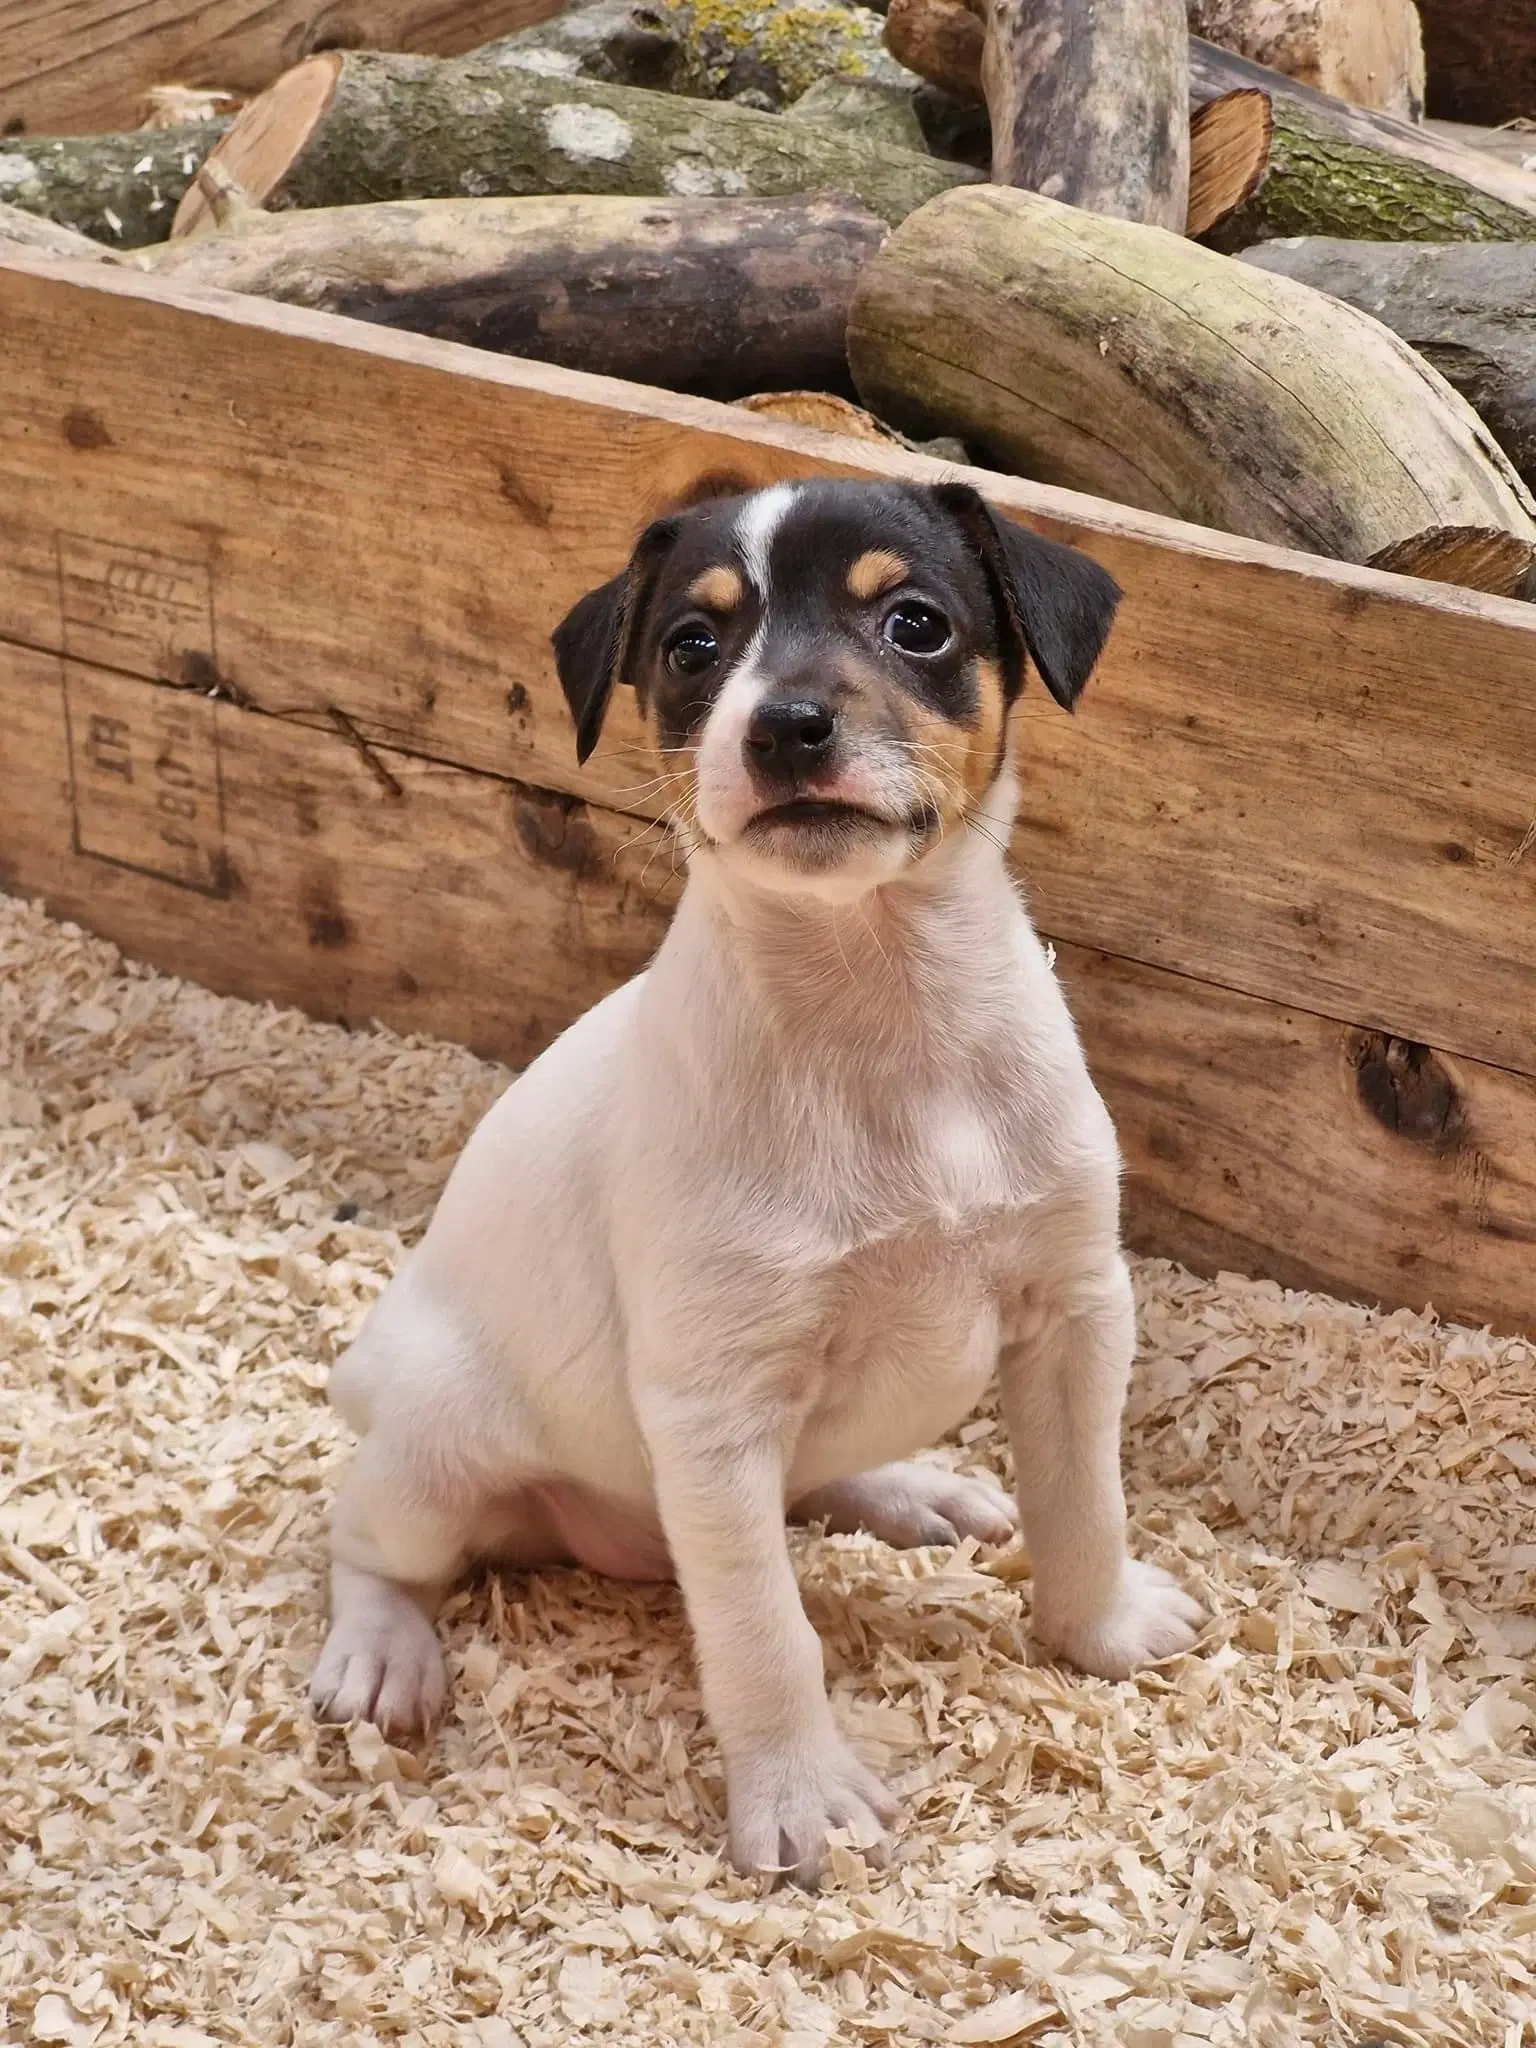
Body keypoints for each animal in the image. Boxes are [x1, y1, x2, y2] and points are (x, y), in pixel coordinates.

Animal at [309, 479, 1204, 1884]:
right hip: (440, 1458)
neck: (883, 1018)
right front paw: (803, 1796)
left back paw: (914, 1487)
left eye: (916, 622)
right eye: (693, 646)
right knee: (363, 1542)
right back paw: (381, 1649)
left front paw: (1101, 1628)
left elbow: (1083, 1503)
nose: (785, 725)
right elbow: (764, 1632)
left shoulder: (1074, 1308)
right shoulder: (715, 1409)